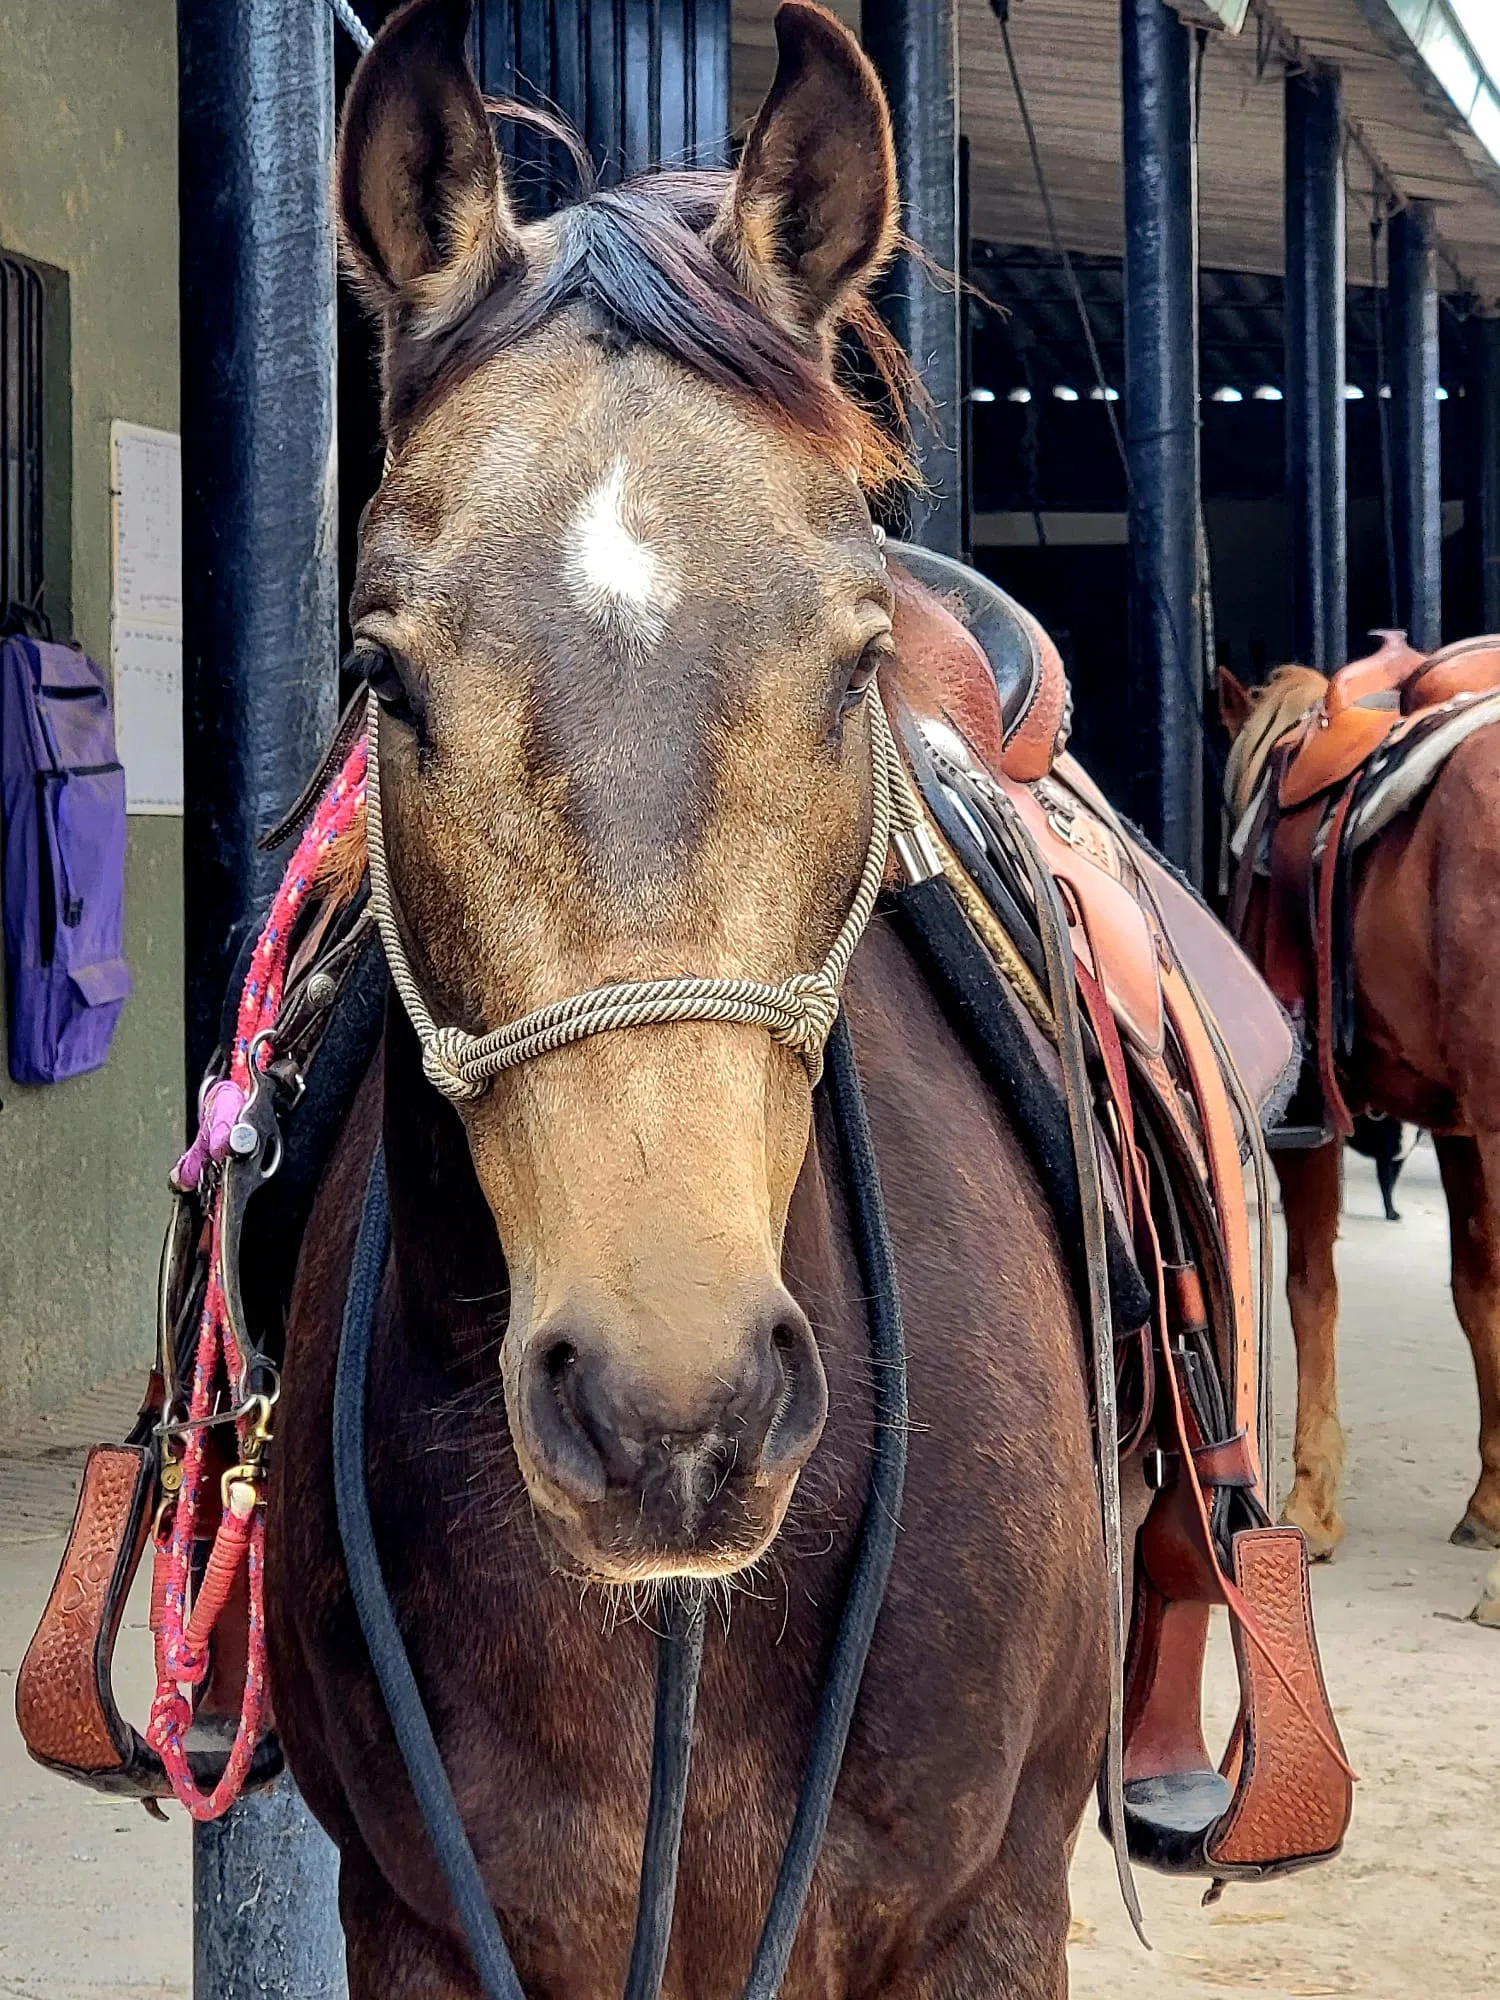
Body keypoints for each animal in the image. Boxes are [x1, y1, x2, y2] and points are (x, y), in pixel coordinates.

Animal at [1220, 662, 1500, 1561]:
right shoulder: (1460, 1126)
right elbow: (1475, 1287)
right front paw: (1491, 1497)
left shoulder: (1306, 1129)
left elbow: (1311, 1289)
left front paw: (1309, 1501)